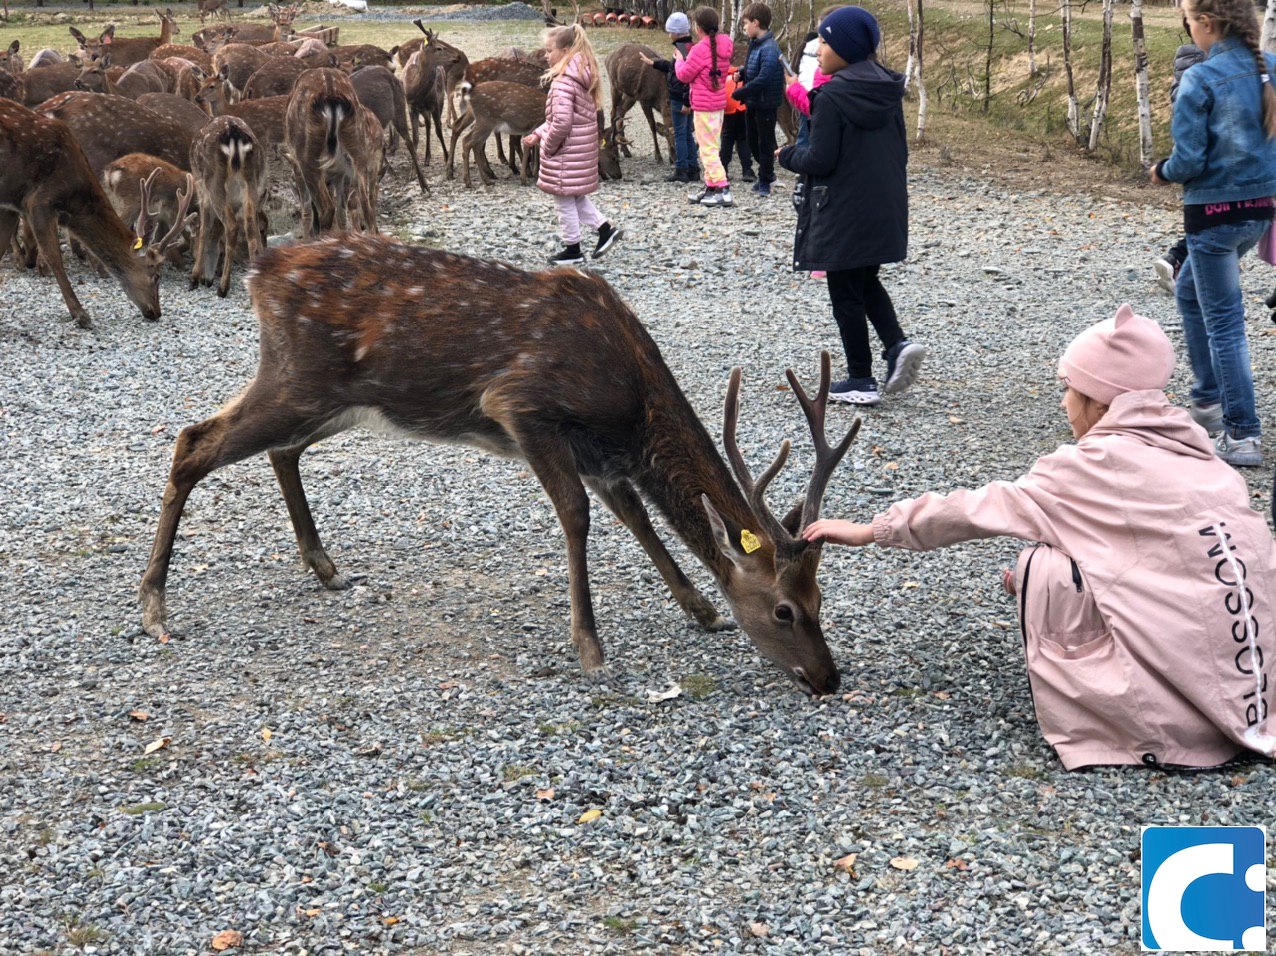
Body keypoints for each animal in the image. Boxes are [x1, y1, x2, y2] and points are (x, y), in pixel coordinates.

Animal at [0, 98, 193, 326]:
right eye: (156, 275)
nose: (156, 312)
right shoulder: (39, 200)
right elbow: (54, 257)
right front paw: (81, 314)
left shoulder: (10, 204)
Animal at [137, 232, 857, 694]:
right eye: (786, 611)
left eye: (822, 597)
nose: (828, 677)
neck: (631, 403)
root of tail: (260, 271)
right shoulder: (523, 406)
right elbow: (578, 518)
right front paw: (590, 648)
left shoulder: (602, 456)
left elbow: (634, 518)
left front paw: (700, 609)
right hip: (299, 380)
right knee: (192, 441)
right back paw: (154, 606)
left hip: (333, 399)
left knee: (277, 450)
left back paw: (326, 568)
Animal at [187, 114, 265, 294]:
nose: (207, 280)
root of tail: (234, 135)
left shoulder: (201, 191)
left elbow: (204, 229)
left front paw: (194, 278)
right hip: (252, 180)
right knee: (251, 226)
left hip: (213, 181)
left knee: (231, 226)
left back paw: (223, 287)